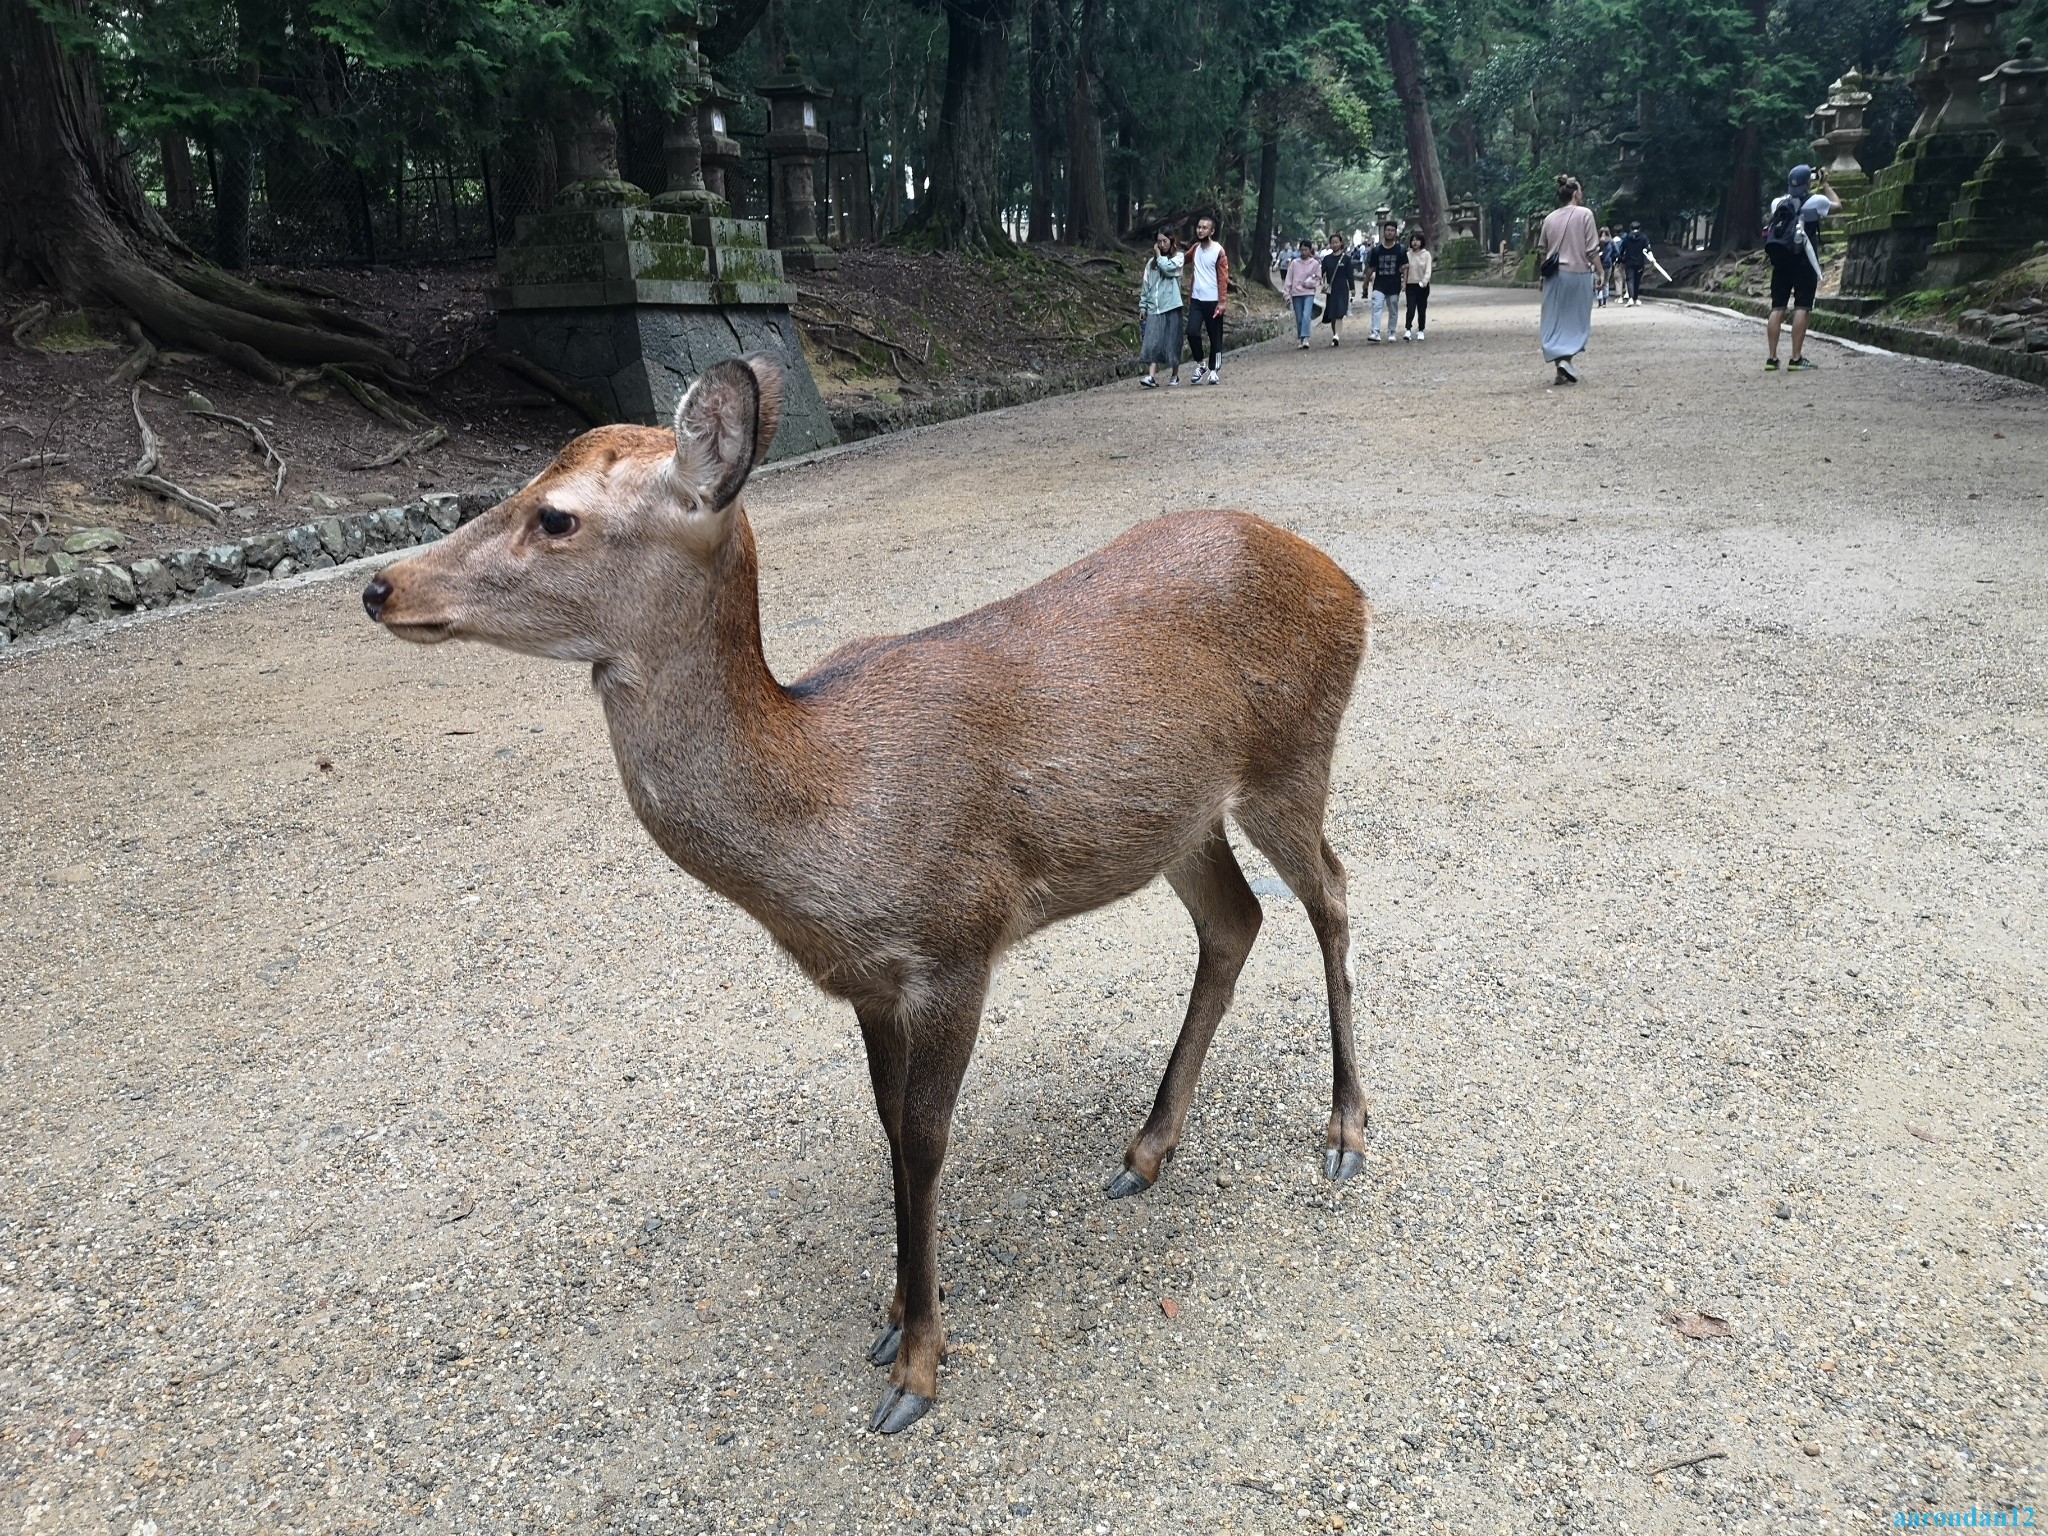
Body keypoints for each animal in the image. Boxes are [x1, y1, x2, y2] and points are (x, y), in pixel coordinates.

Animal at [360, 354, 1368, 1441]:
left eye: (555, 517)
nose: (381, 586)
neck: (827, 818)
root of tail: (1346, 582)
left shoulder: (958, 941)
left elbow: (924, 1142)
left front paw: (918, 1366)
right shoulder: (869, 984)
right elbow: (886, 1128)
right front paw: (892, 1311)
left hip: (1292, 758)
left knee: (1332, 894)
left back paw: (1346, 1132)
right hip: (1178, 819)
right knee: (1235, 920)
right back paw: (1145, 1151)